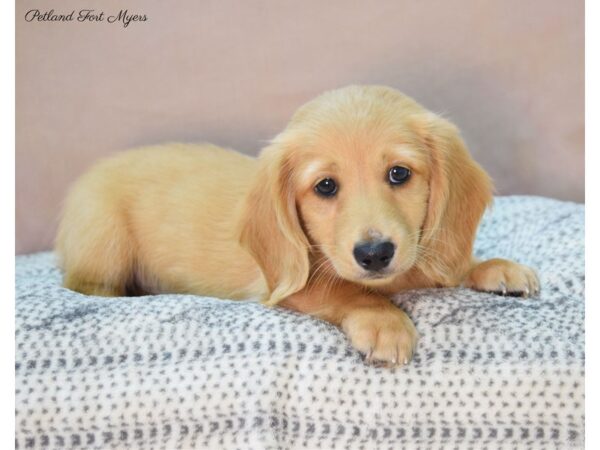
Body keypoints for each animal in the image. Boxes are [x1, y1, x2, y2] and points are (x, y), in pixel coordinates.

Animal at [55, 86, 540, 368]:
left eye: (399, 174)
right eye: (325, 186)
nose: (375, 254)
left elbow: (442, 264)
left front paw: (493, 267)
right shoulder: (282, 288)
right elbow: (342, 289)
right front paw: (383, 321)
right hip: (103, 240)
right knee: (86, 285)